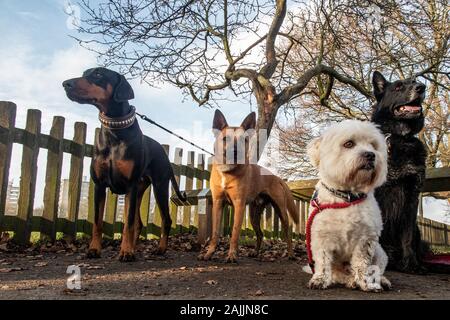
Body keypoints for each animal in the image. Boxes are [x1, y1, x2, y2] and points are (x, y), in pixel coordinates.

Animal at [62, 68, 185, 262]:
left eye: (98, 74)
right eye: (85, 72)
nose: (66, 84)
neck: (114, 131)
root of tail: (165, 154)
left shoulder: (130, 186)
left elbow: (128, 223)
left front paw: (126, 252)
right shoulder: (99, 185)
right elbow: (97, 222)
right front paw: (94, 249)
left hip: (158, 186)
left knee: (165, 219)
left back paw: (160, 249)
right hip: (141, 189)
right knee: (139, 223)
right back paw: (134, 247)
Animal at [200, 110, 298, 262]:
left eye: (243, 140)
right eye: (225, 139)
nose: (235, 152)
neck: (227, 172)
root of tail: (276, 177)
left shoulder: (239, 204)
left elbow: (234, 232)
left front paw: (232, 255)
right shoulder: (218, 203)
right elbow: (215, 232)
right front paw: (209, 253)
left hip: (281, 211)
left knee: (287, 233)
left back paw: (291, 254)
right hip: (253, 215)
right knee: (260, 234)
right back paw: (255, 253)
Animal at [306, 120, 390, 292]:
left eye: (373, 145)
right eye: (349, 143)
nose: (371, 154)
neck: (347, 197)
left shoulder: (366, 240)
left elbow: (362, 264)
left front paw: (365, 282)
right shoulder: (321, 239)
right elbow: (323, 262)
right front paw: (319, 279)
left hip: (380, 253)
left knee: (377, 269)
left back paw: (379, 281)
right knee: (340, 275)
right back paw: (350, 281)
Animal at [370, 70, 428, 272]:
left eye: (415, 81)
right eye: (398, 87)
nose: (421, 87)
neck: (398, 138)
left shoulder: (412, 195)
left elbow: (407, 236)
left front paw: (411, 263)